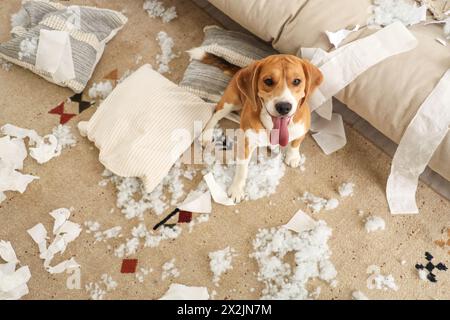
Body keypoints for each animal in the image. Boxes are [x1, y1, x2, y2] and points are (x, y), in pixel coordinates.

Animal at [200, 53, 324, 201]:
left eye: (296, 81)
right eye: (268, 81)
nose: (284, 107)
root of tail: (241, 69)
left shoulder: (301, 128)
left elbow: (296, 143)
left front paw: (293, 156)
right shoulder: (246, 143)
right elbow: (242, 169)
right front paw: (237, 189)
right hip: (230, 102)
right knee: (215, 114)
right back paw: (206, 134)